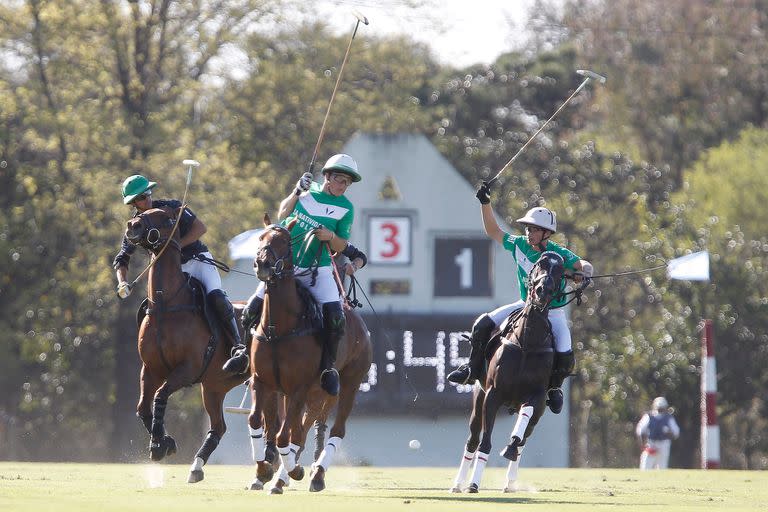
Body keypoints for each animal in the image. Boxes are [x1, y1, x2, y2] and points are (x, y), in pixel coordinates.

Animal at [125, 207, 255, 484]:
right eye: (141, 211)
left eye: (168, 218)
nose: (133, 226)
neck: (166, 305)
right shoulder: (150, 369)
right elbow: (143, 407)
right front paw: (165, 442)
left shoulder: (188, 369)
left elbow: (160, 395)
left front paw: (159, 445)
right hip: (215, 386)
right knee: (219, 427)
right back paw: (196, 467)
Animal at [246, 215, 372, 492]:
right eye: (260, 237)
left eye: (284, 242)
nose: (263, 264)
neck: (278, 328)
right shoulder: (262, 381)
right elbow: (256, 421)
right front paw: (262, 471)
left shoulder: (299, 388)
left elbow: (285, 436)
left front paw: (293, 471)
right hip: (313, 394)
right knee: (300, 430)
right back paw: (285, 476)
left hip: (346, 384)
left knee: (332, 430)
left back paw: (314, 475)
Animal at [448, 251, 568, 492]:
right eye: (539, 263)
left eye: (560, 271)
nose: (543, 290)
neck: (527, 342)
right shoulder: (493, 395)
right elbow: (484, 443)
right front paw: (473, 484)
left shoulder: (536, 396)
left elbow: (522, 428)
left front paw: (510, 447)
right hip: (479, 399)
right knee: (473, 440)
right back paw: (458, 483)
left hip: (539, 411)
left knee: (524, 440)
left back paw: (511, 482)